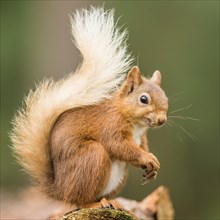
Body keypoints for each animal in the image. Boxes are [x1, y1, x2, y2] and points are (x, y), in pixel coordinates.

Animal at [10, 7, 168, 211]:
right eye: (143, 99)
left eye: (166, 97)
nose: (162, 120)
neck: (135, 124)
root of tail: (59, 190)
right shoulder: (110, 124)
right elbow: (118, 145)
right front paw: (147, 158)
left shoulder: (141, 137)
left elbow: (140, 147)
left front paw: (152, 168)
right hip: (92, 156)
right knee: (79, 201)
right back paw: (93, 203)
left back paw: (112, 201)